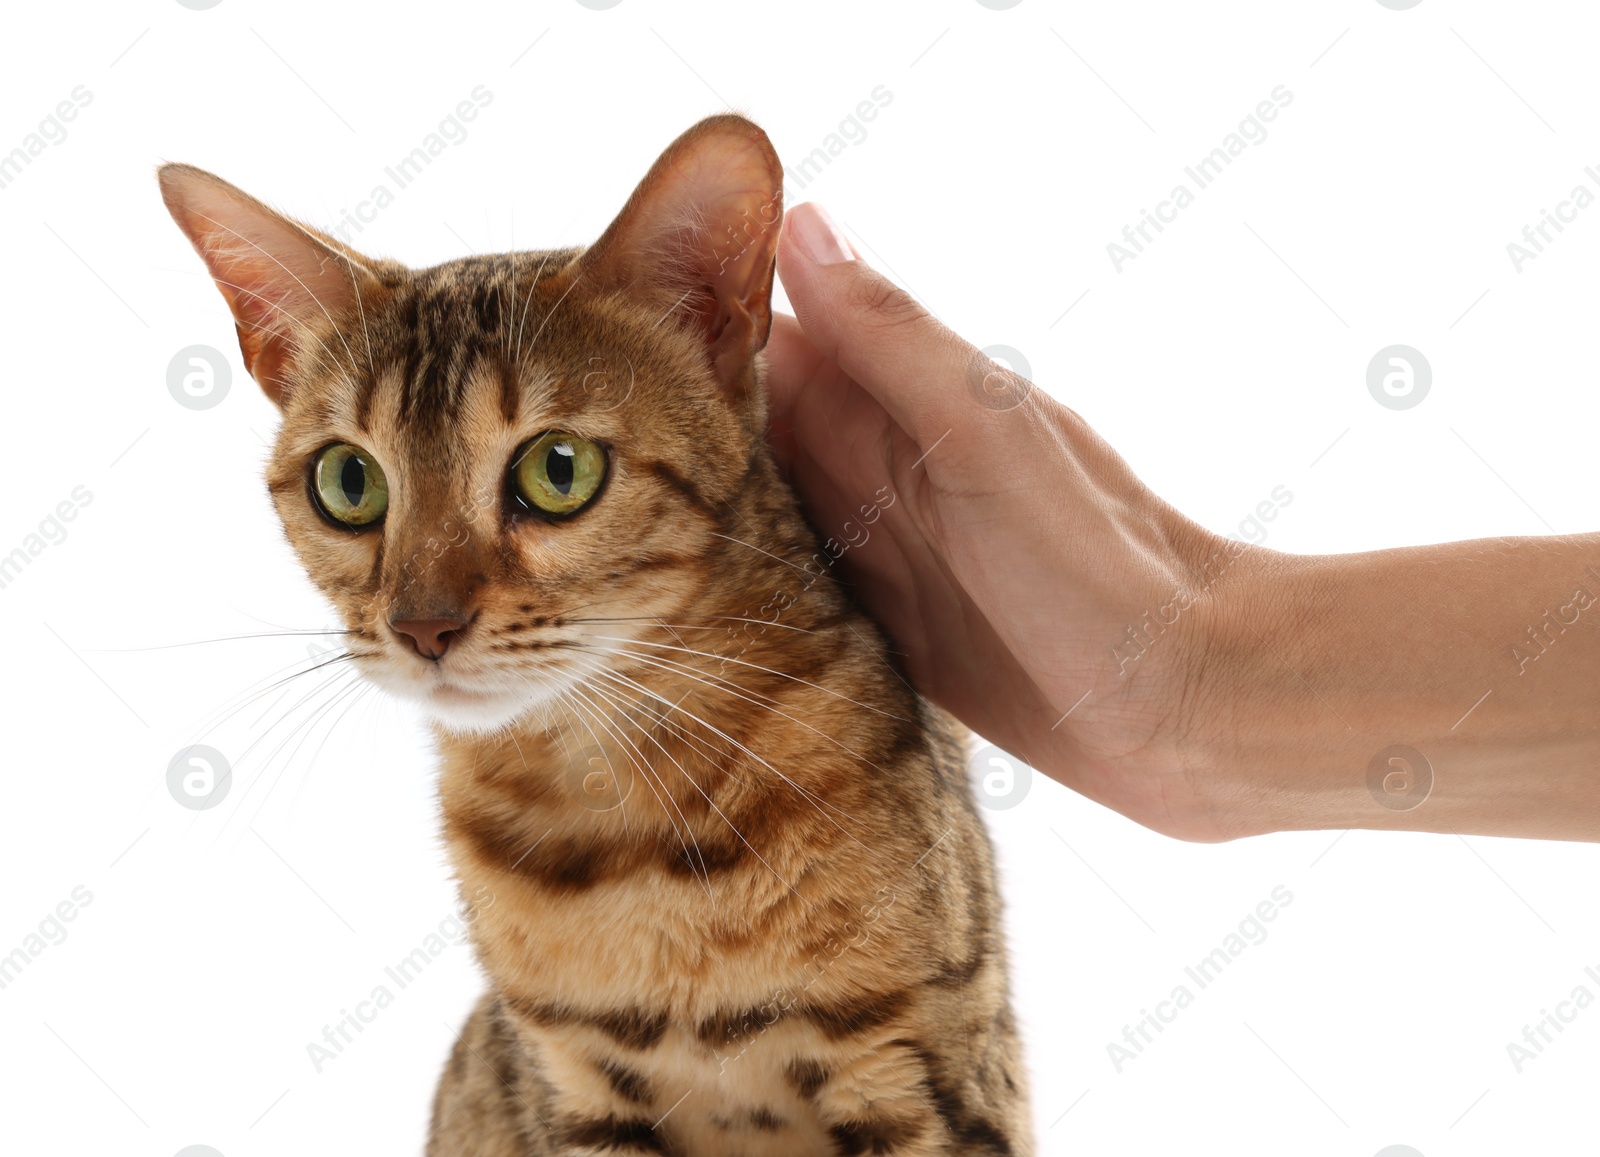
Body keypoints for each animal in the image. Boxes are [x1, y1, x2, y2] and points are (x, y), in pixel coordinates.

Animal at [162, 112, 1030, 1152]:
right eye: (349, 481)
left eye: (559, 469)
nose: (422, 625)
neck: (623, 826)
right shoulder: (568, 1081)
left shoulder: (928, 1074)